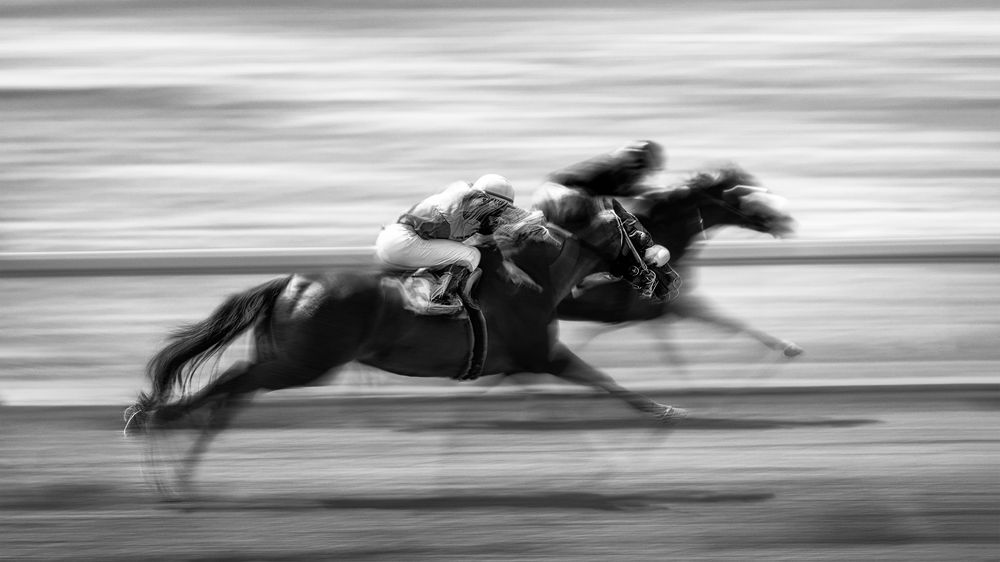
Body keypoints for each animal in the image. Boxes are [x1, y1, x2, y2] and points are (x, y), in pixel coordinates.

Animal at [123, 190, 686, 494]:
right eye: (638, 230)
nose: (669, 277)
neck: (534, 275)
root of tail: (290, 282)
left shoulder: (517, 365)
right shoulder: (544, 355)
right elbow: (603, 381)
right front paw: (663, 414)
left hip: (284, 357)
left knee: (230, 398)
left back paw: (177, 471)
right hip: (302, 363)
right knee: (227, 388)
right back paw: (153, 426)